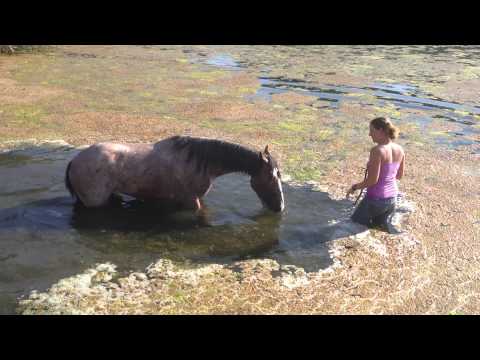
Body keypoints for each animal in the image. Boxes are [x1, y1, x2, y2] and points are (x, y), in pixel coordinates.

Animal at [66, 136, 286, 212]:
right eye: (272, 177)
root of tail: (75, 161)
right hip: (95, 202)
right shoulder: (191, 200)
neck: (203, 163)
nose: (280, 207)